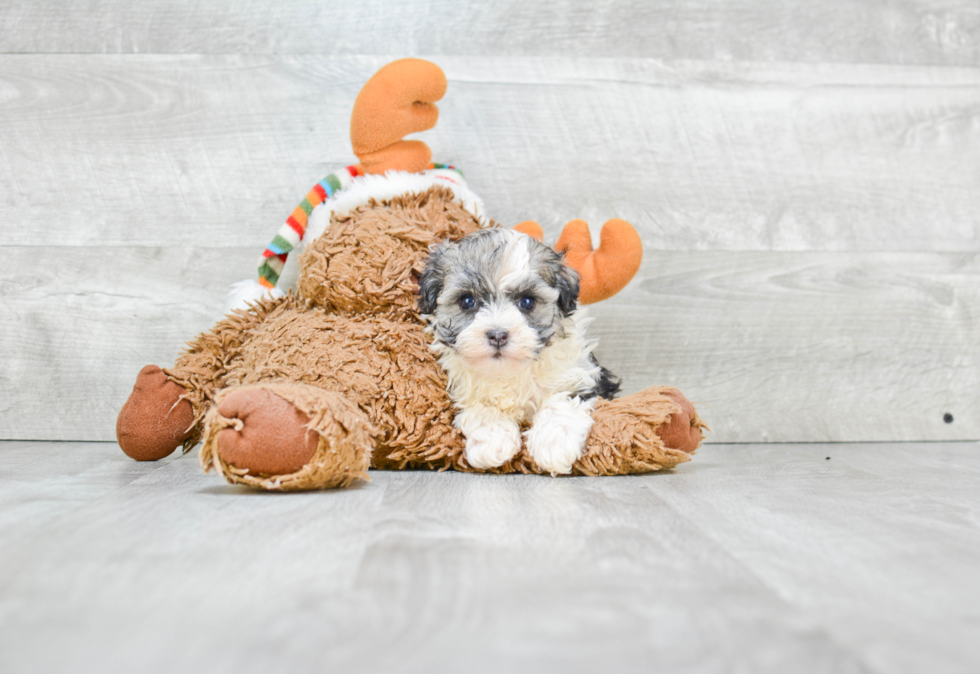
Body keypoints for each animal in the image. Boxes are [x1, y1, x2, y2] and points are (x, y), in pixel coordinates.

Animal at [420, 228, 620, 476]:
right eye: (467, 301)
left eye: (527, 302)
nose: (498, 335)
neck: (510, 371)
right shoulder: (465, 389)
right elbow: (481, 406)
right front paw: (493, 441)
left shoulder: (579, 375)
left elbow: (562, 403)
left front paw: (553, 445)